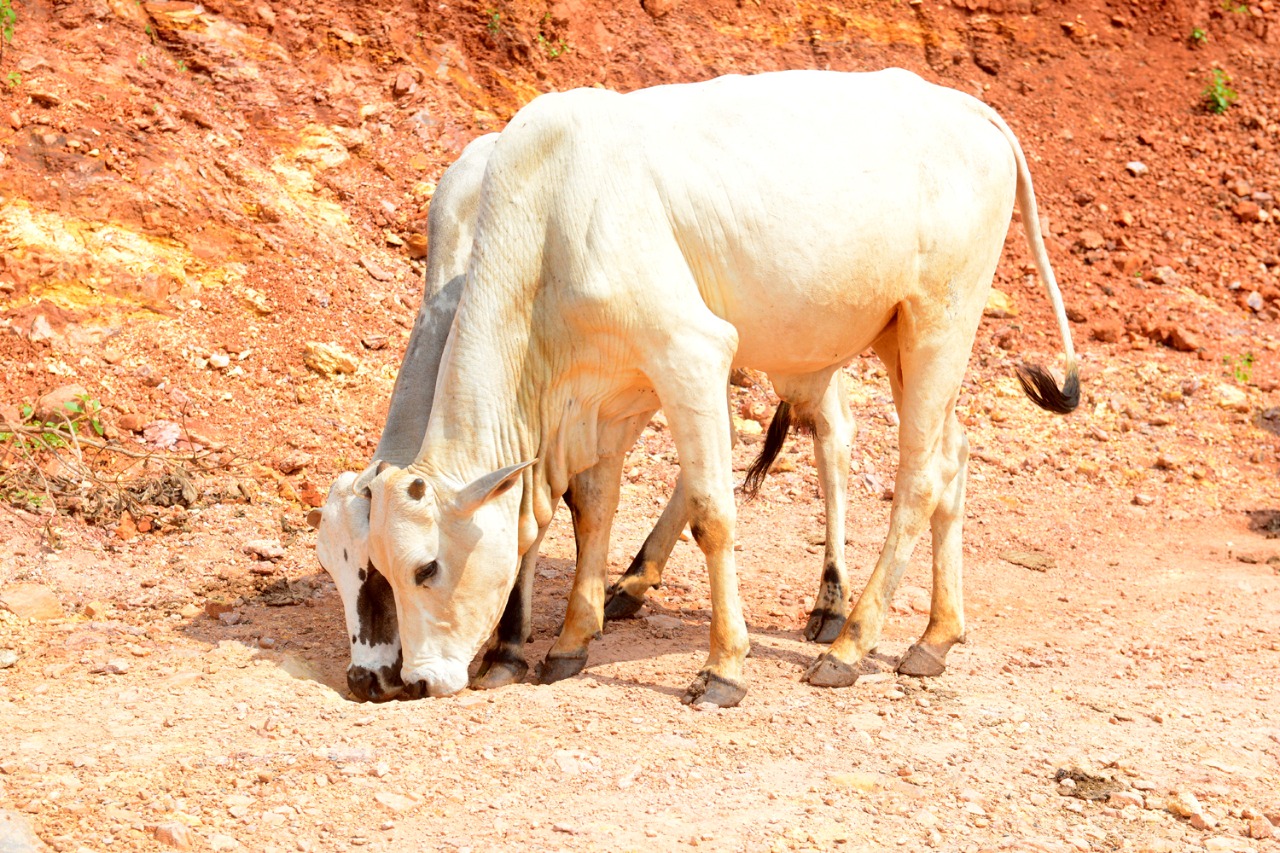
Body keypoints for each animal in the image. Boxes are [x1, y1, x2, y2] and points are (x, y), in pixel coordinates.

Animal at [366, 68, 1075, 701]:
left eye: (426, 568)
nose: (415, 681)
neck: (548, 221)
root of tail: (970, 108)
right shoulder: (608, 390)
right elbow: (590, 509)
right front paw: (568, 642)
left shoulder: (689, 352)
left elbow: (713, 514)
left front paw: (723, 668)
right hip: (896, 336)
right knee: (950, 454)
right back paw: (935, 637)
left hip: (939, 322)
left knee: (918, 479)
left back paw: (850, 643)